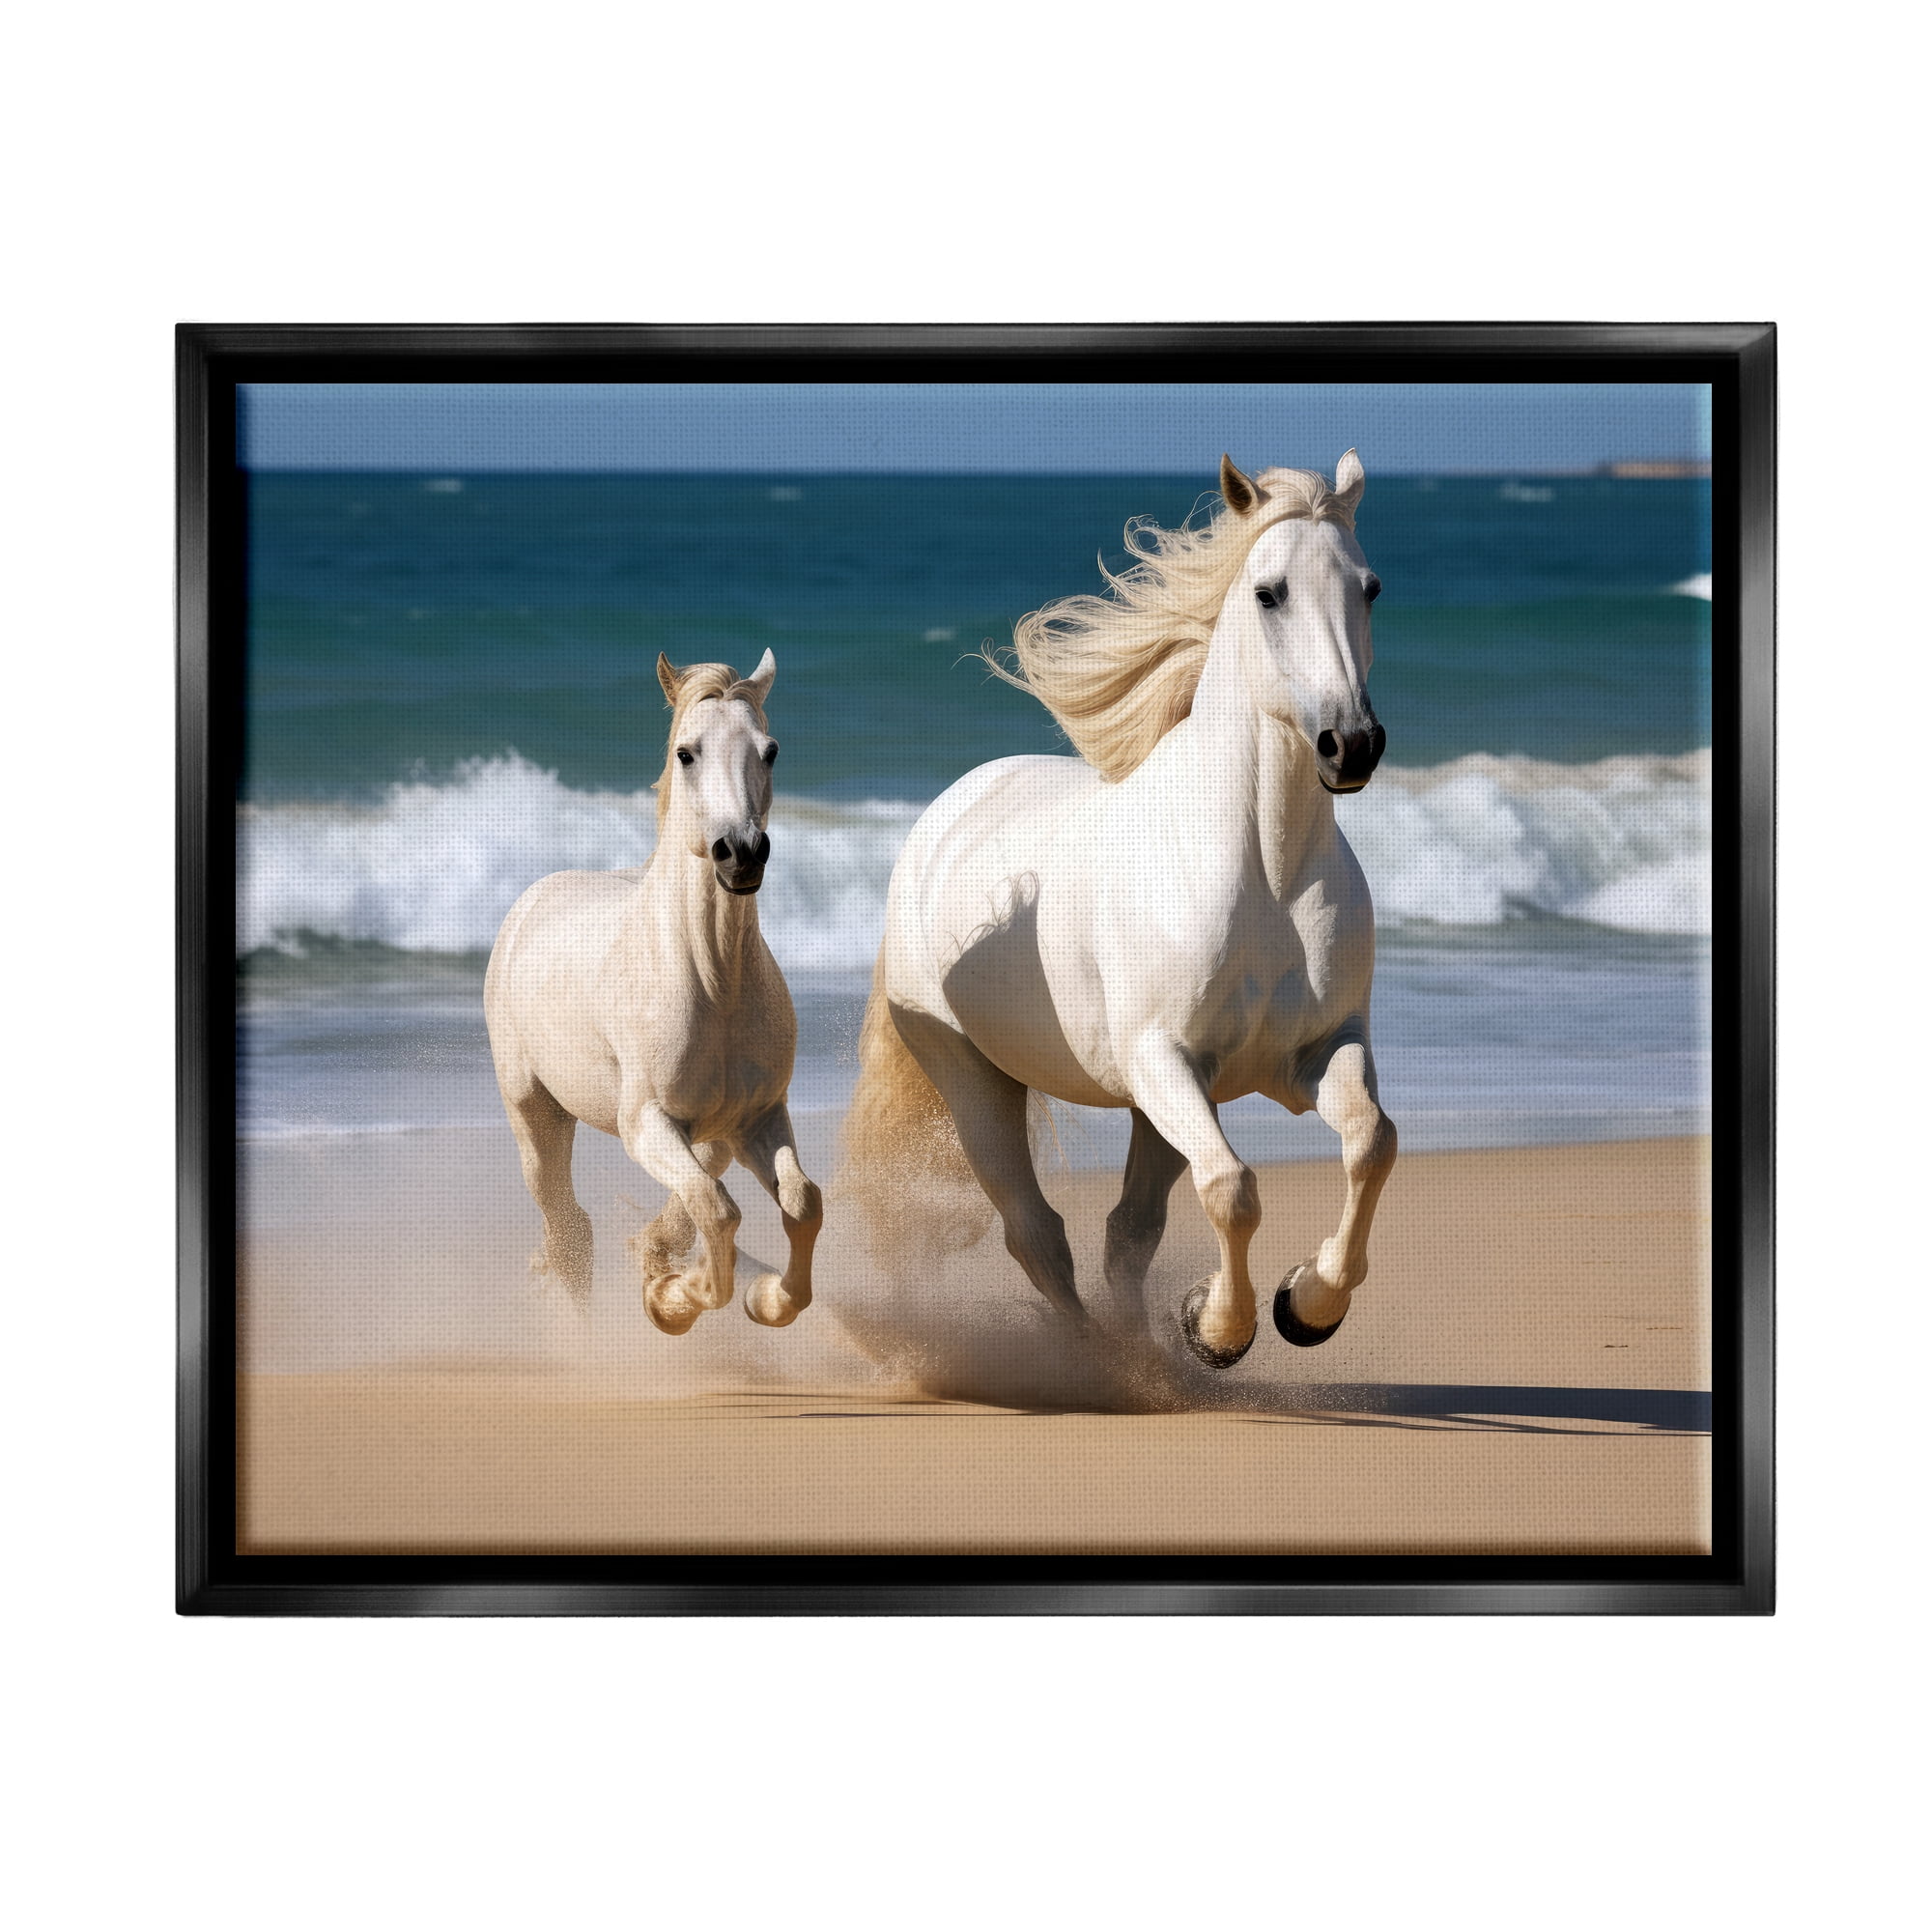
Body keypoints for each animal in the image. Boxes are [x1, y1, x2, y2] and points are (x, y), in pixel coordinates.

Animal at [484, 650, 823, 1336]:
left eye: (770, 751)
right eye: (687, 753)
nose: (740, 854)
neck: (714, 985)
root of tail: (532, 899)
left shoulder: (758, 1118)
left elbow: (800, 1203)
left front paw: (764, 1299)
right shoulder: (645, 1124)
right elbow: (717, 1211)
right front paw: (670, 1300)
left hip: (713, 1136)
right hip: (536, 1115)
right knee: (568, 1229)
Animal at [844, 452, 1396, 1368]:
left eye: (1370, 587)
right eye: (1269, 592)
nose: (1350, 746)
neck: (1267, 879)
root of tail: (942, 816)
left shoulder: (1317, 1053)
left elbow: (1370, 1144)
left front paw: (1303, 1306)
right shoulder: (1163, 1062)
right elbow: (1233, 1188)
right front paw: (1218, 1330)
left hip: (1150, 1110)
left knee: (1124, 1232)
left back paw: (1145, 1357)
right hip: (975, 1080)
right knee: (1037, 1235)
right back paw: (1104, 1367)